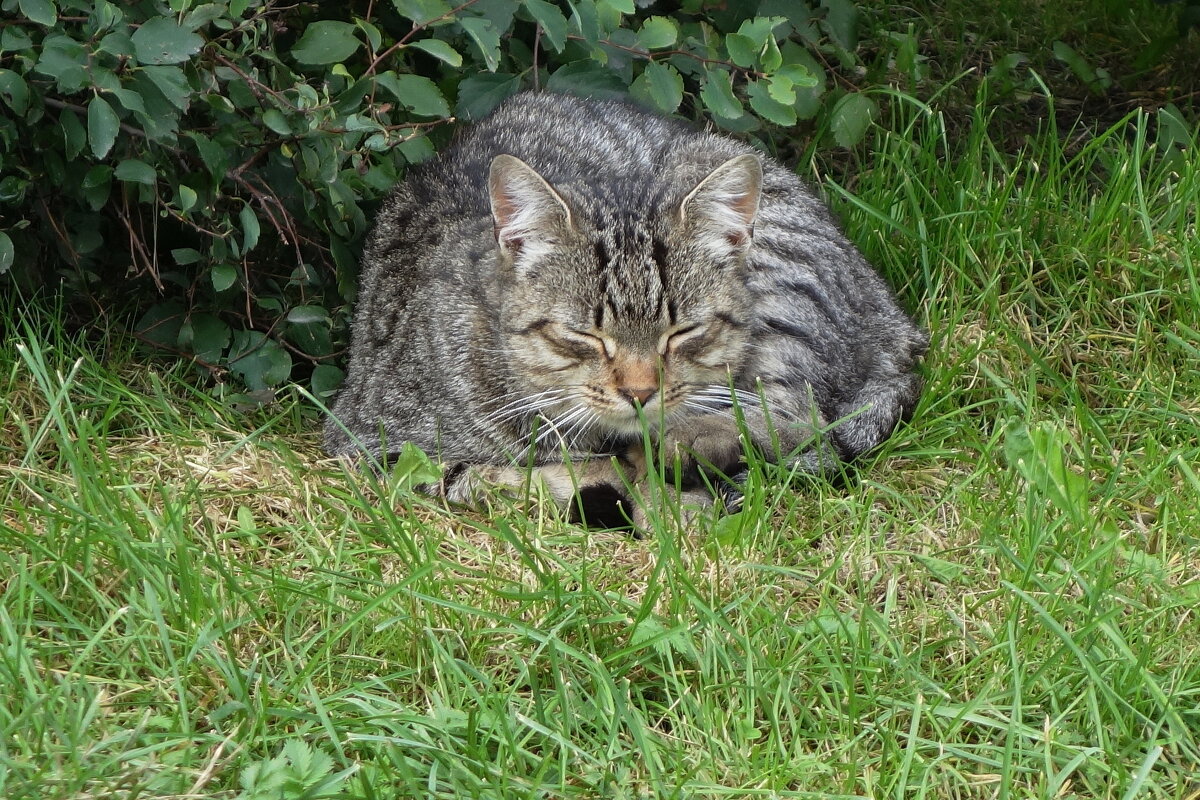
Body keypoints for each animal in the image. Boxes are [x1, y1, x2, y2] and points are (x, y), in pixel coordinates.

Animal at [321, 92, 926, 525]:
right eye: (585, 336)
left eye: (682, 333)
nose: (640, 392)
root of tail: (894, 318)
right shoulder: (369, 442)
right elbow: (461, 476)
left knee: (805, 418)